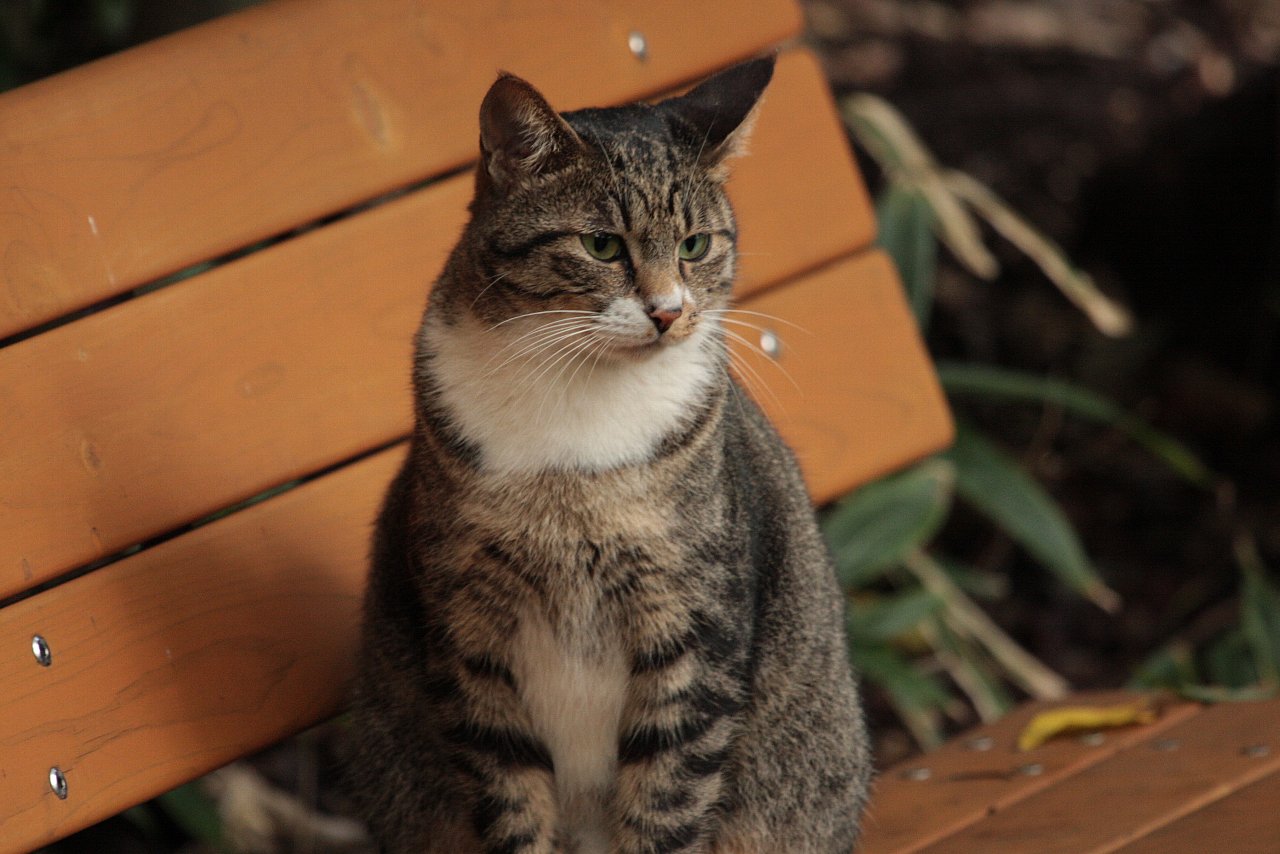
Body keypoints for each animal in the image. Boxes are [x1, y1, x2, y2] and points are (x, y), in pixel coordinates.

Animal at [343, 55, 870, 854]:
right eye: (601, 246)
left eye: (695, 246)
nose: (669, 311)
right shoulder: (469, 634)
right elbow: (513, 800)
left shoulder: (694, 627)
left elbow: (667, 799)